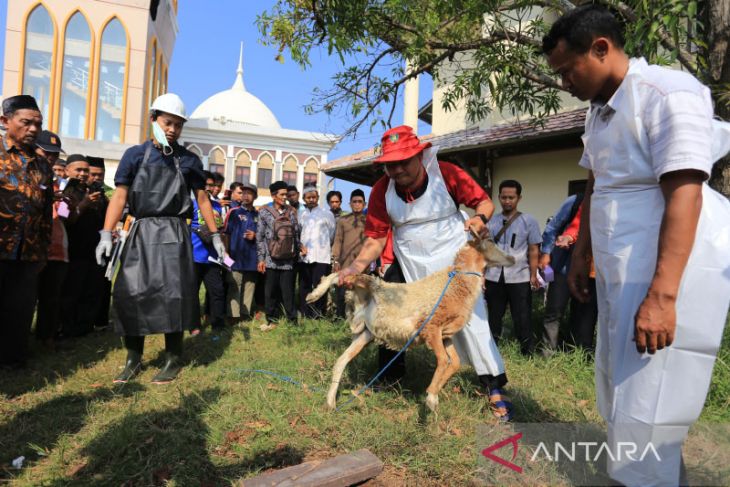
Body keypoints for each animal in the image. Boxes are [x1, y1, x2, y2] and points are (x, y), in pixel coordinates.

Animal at [304, 231, 516, 414]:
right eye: (491, 243)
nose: (513, 259)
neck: (457, 282)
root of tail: (364, 296)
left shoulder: (445, 335)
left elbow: (454, 363)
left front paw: (434, 392)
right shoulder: (431, 327)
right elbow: (444, 360)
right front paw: (431, 397)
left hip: (364, 334)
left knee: (340, 361)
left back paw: (330, 402)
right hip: (368, 282)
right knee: (339, 275)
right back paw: (314, 295)